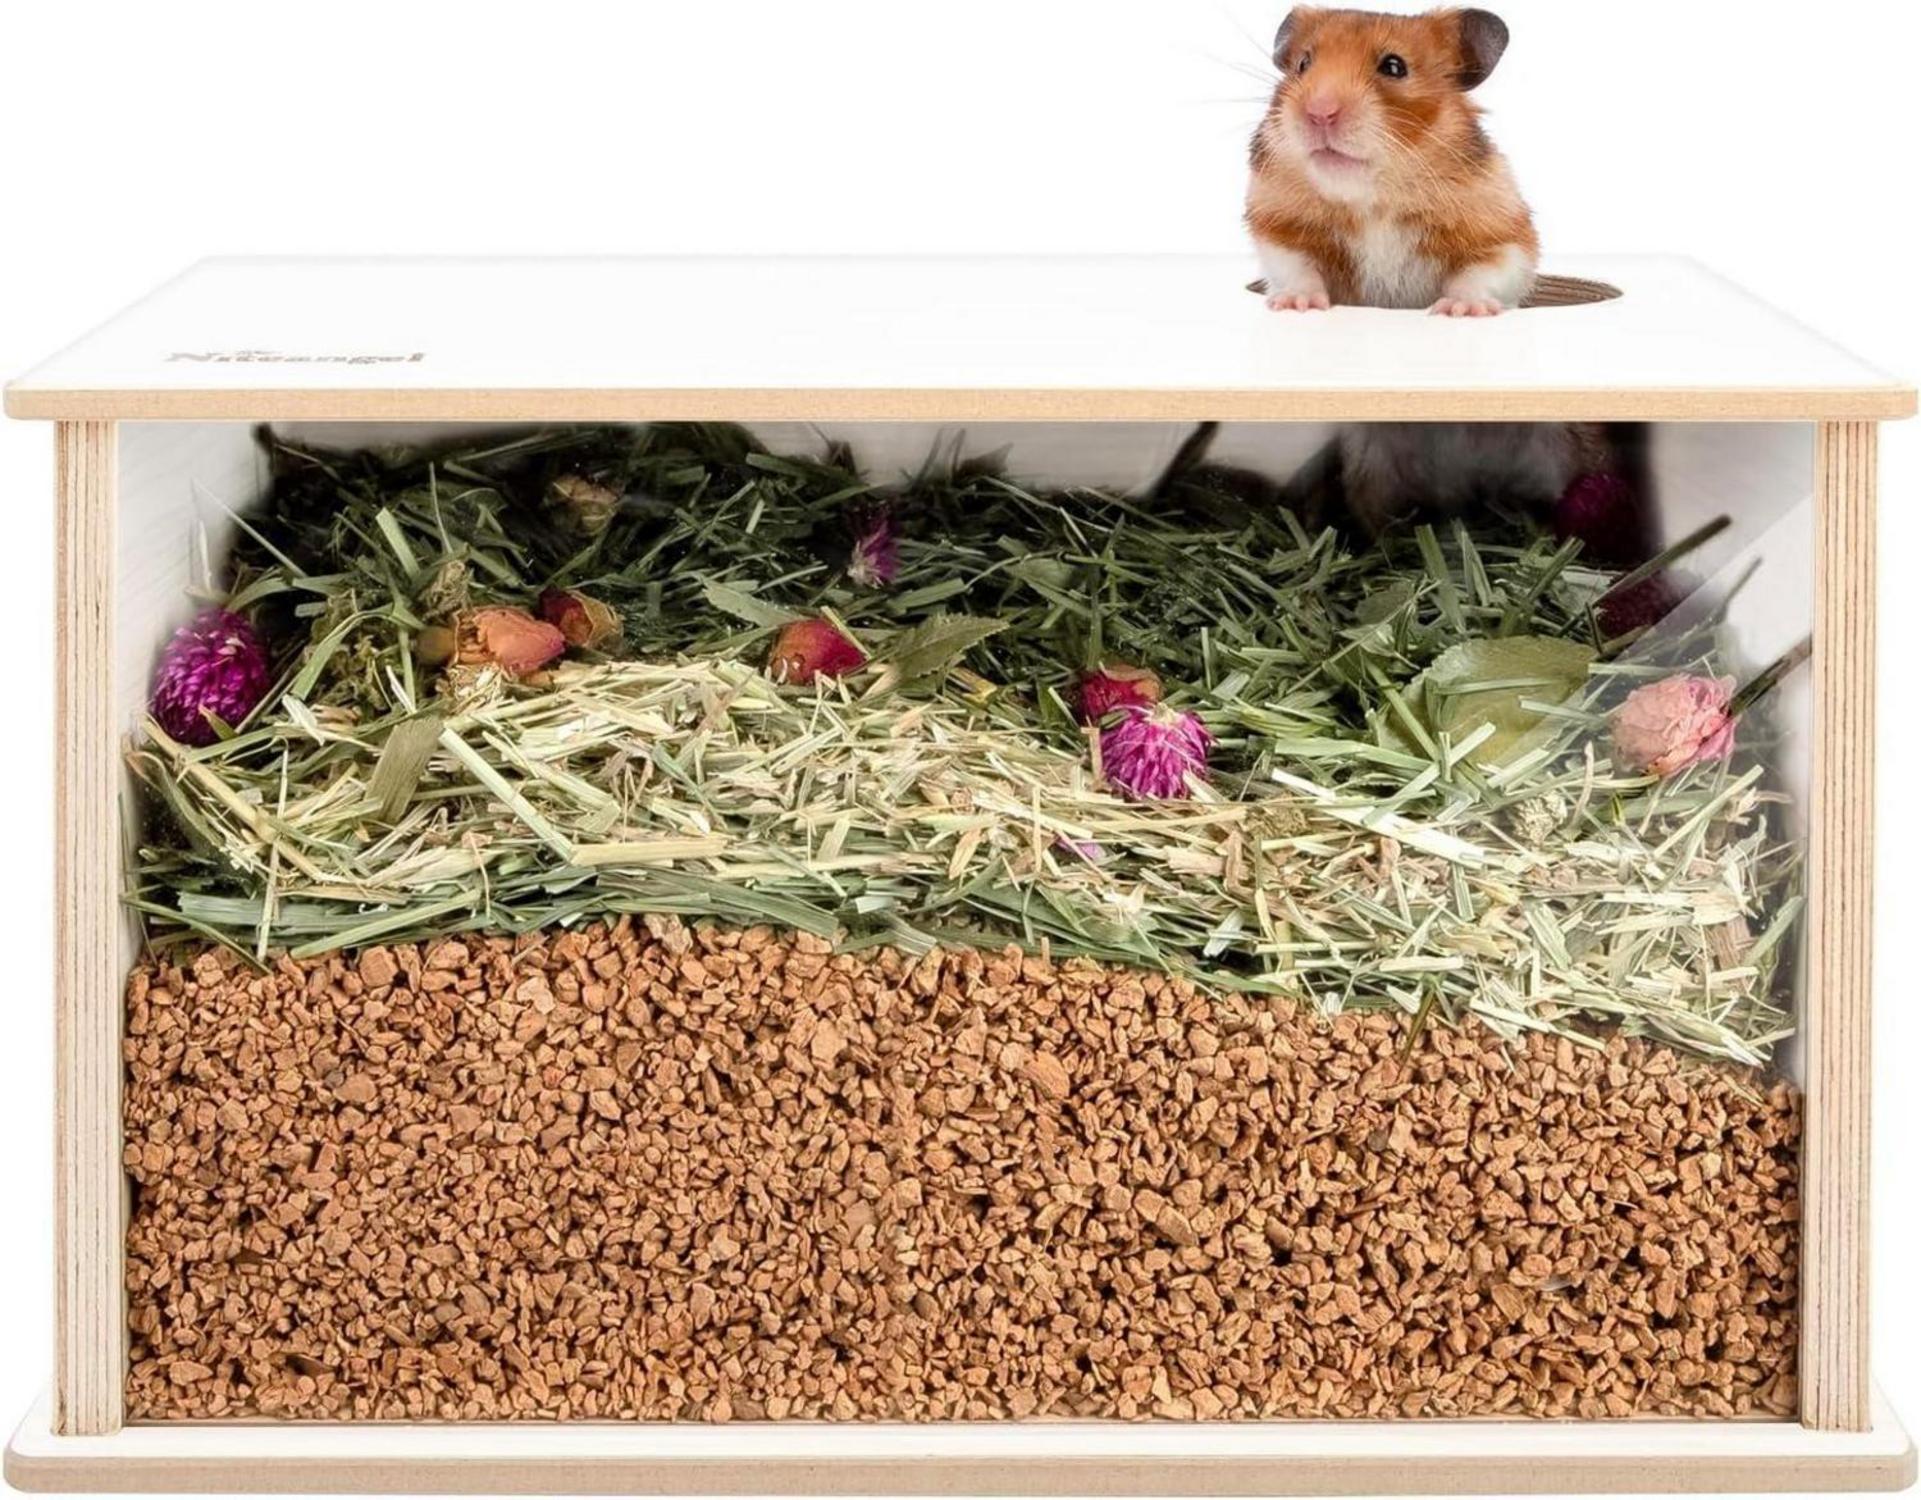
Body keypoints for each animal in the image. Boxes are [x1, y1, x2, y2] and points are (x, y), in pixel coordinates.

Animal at [1245, 7, 1538, 316]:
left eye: (1394, 66)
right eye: (1303, 63)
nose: (1319, 112)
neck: (1374, 198)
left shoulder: (1504, 234)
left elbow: (1482, 271)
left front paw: (1461, 309)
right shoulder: (1279, 228)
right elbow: (1297, 269)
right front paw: (1295, 304)